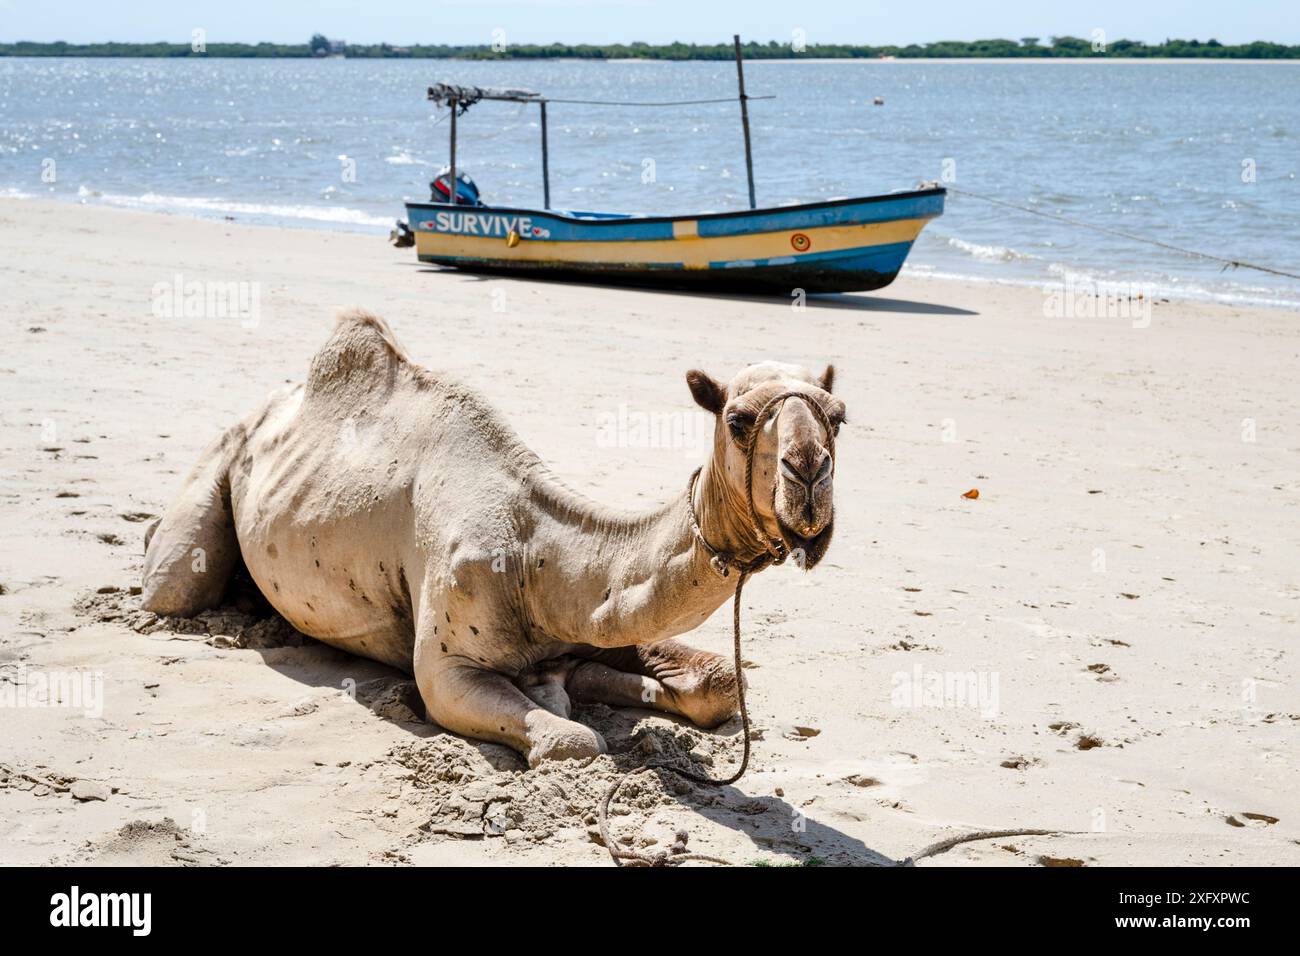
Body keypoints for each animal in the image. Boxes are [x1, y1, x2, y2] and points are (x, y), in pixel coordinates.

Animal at [142, 310, 847, 764]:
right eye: (738, 419)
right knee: (173, 586)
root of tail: (272, 404)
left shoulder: (593, 624)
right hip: (222, 459)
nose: (808, 474)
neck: (540, 556)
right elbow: (571, 740)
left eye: (839, 417)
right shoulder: (446, 666)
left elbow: (721, 680)